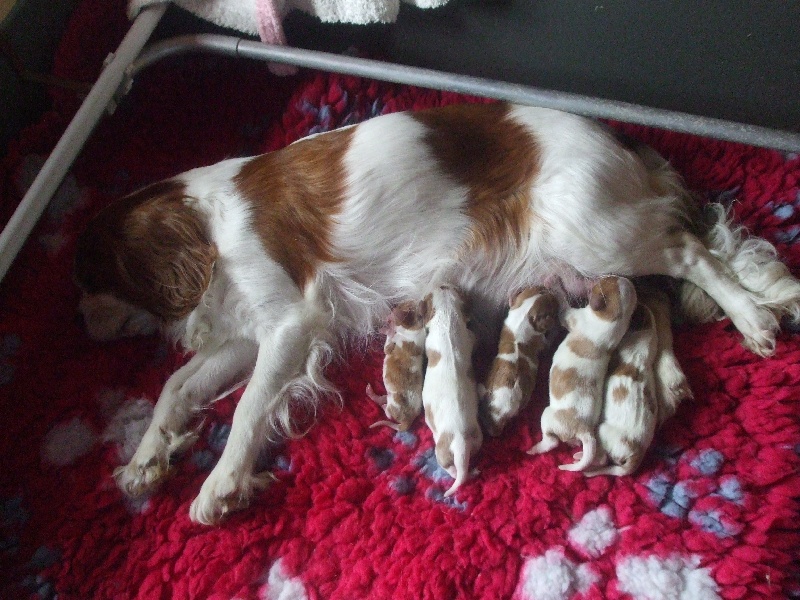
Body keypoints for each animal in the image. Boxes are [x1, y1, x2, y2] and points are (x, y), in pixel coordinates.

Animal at [418, 286, 482, 496]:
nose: (441, 284)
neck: (447, 319)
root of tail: (460, 440)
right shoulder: (470, 336)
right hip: (477, 439)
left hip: (441, 452)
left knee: (451, 469)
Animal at [482, 286, 556, 436]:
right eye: (551, 306)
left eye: (539, 288)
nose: (551, 291)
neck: (524, 315)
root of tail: (498, 415)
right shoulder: (542, 340)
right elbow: (546, 342)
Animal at [532, 278, 636, 474]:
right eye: (612, 277)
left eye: (605, 280)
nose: (597, 278)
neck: (614, 320)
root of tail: (585, 430)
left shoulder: (571, 316)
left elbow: (562, 301)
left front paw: (553, 281)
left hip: (547, 415)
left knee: (552, 442)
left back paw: (535, 449)